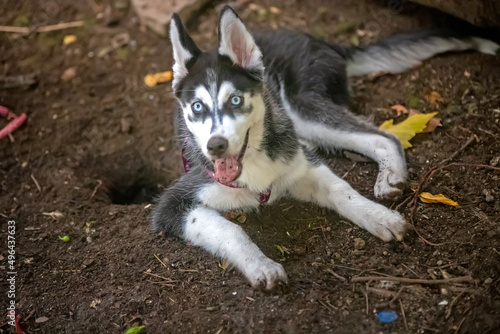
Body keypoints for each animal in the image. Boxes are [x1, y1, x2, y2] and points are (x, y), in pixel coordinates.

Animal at [152, 5, 500, 288]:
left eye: (235, 100)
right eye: (197, 107)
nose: (216, 146)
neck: (254, 166)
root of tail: (323, 41)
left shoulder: (301, 164)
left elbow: (341, 189)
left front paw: (379, 217)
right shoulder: (173, 205)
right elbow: (231, 230)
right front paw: (260, 265)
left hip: (300, 107)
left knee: (383, 137)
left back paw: (390, 176)